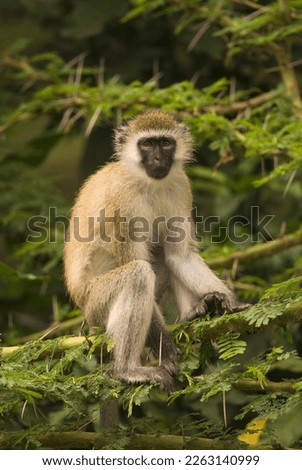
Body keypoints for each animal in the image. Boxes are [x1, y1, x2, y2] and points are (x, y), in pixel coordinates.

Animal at [63, 110, 248, 392]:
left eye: (166, 143)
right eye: (148, 144)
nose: (159, 158)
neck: (147, 183)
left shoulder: (181, 186)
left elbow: (180, 256)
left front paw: (230, 299)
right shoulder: (122, 204)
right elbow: (136, 261)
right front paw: (166, 351)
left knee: (163, 254)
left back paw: (192, 312)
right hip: (96, 304)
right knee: (138, 273)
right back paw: (127, 370)